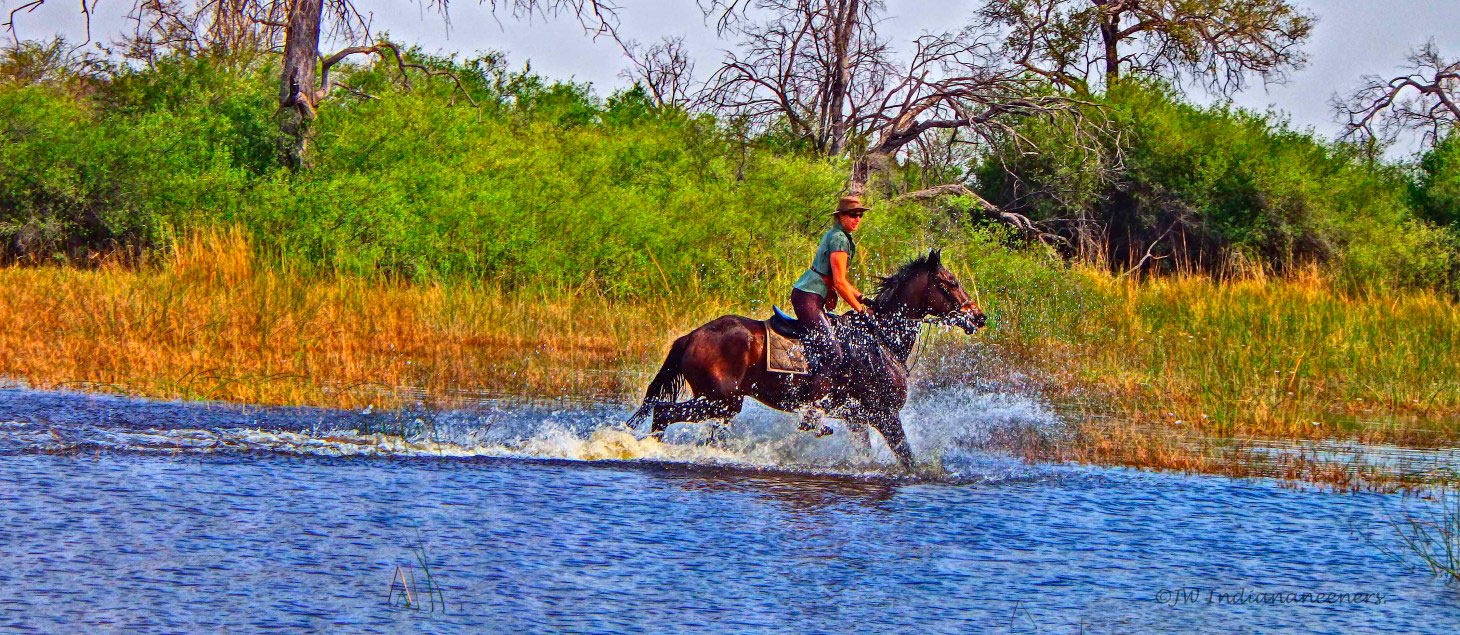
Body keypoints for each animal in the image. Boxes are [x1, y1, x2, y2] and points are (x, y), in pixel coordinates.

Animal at [621, 251, 986, 470]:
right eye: (951, 282)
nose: (978, 317)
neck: (882, 340)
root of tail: (691, 336)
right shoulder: (885, 415)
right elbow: (908, 458)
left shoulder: (857, 418)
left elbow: (866, 453)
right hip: (719, 400)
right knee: (663, 412)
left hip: (722, 405)